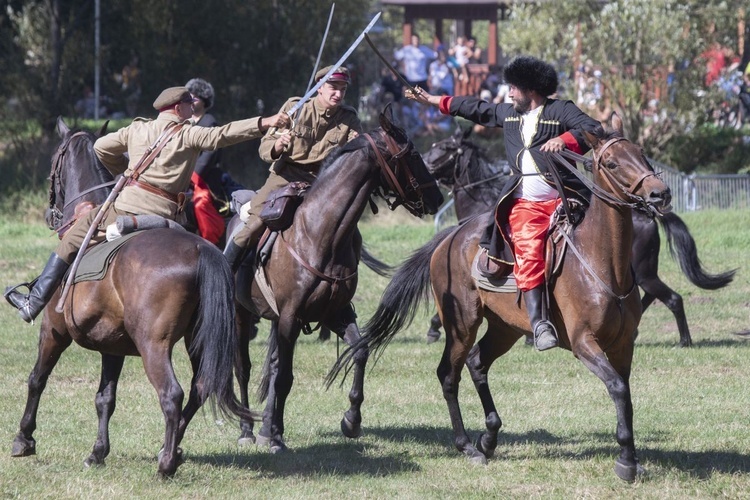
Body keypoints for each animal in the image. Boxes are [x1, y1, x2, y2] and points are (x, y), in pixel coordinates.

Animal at [11, 116, 251, 476]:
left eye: (54, 162)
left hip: (153, 344)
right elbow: (105, 398)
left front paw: (24, 438)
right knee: (200, 387)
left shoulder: (53, 331)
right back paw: (172, 448)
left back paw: (166, 463)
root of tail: (200, 250)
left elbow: (37, 379)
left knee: (172, 394)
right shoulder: (112, 346)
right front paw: (97, 452)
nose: (49, 213)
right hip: (196, 339)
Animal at [232, 108, 444, 454]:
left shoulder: (334, 313)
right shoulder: (291, 318)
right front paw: (276, 436)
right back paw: (248, 429)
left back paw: (262, 427)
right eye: (412, 154)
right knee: (243, 367)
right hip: (241, 314)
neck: (320, 233)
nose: (437, 197)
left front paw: (351, 420)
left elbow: (359, 351)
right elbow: (284, 378)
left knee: (272, 364)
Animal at [332, 116, 672, 480]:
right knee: (449, 374)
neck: (602, 262)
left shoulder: (623, 345)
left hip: (504, 328)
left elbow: (625, 393)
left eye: (641, 153)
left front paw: (630, 456)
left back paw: (489, 437)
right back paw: (466, 445)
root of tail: (451, 237)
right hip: (463, 325)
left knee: (477, 363)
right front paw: (626, 461)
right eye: (611, 163)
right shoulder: (585, 344)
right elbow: (618, 389)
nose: (659, 193)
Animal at [426, 124, 736, 348]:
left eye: (444, 148)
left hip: (644, 273)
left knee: (672, 299)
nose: (425, 168)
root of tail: (649, 216)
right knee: (655, 297)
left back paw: (684, 340)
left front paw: (433, 328)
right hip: (642, 275)